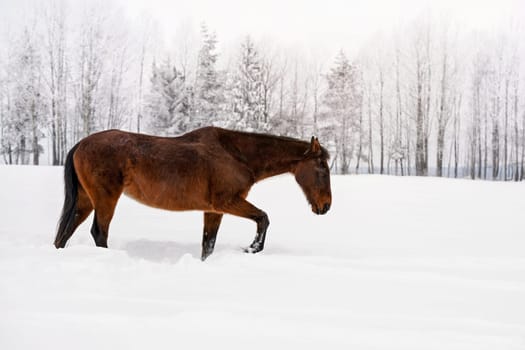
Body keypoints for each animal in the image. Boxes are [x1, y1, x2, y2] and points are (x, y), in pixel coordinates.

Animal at [54, 126, 332, 260]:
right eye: (321, 167)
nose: (326, 206)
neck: (236, 155)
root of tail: (80, 144)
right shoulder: (227, 202)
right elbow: (263, 217)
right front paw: (252, 248)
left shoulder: (214, 210)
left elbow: (208, 245)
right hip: (105, 198)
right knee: (98, 233)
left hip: (86, 200)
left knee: (65, 234)